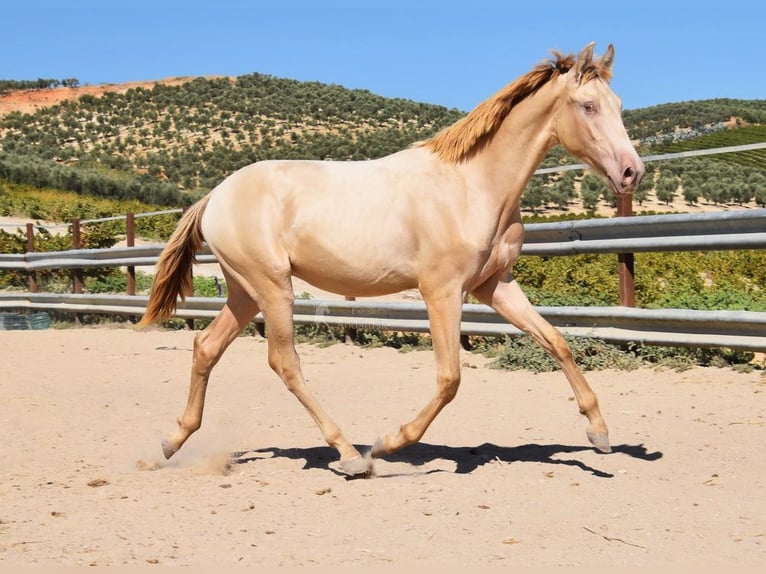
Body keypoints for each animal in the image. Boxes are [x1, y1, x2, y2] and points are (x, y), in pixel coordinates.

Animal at [141, 44, 644, 476]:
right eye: (588, 106)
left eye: (618, 103)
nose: (631, 172)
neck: (471, 186)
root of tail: (216, 195)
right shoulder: (441, 291)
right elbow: (450, 378)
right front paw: (387, 443)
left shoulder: (495, 286)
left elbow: (557, 342)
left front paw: (599, 433)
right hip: (272, 287)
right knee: (285, 363)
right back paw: (350, 454)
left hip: (245, 291)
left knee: (206, 346)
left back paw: (169, 444)